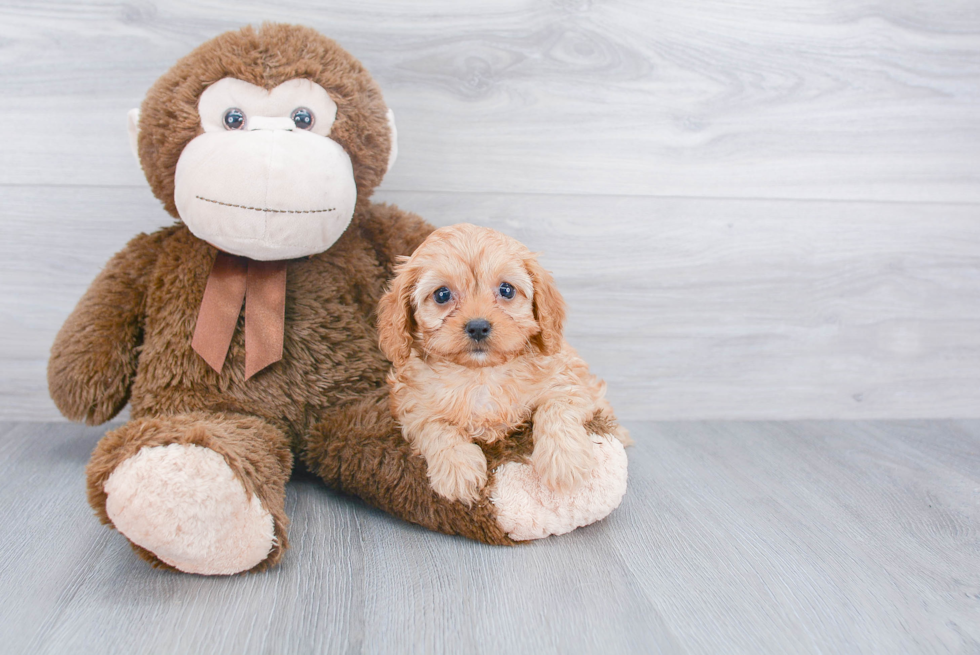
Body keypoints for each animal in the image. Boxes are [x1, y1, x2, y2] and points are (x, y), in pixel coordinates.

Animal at [376, 223, 628, 504]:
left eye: (506, 290)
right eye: (442, 294)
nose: (477, 326)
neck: (482, 375)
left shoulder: (567, 384)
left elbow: (555, 410)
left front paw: (563, 461)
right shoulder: (413, 407)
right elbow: (436, 428)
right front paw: (457, 469)